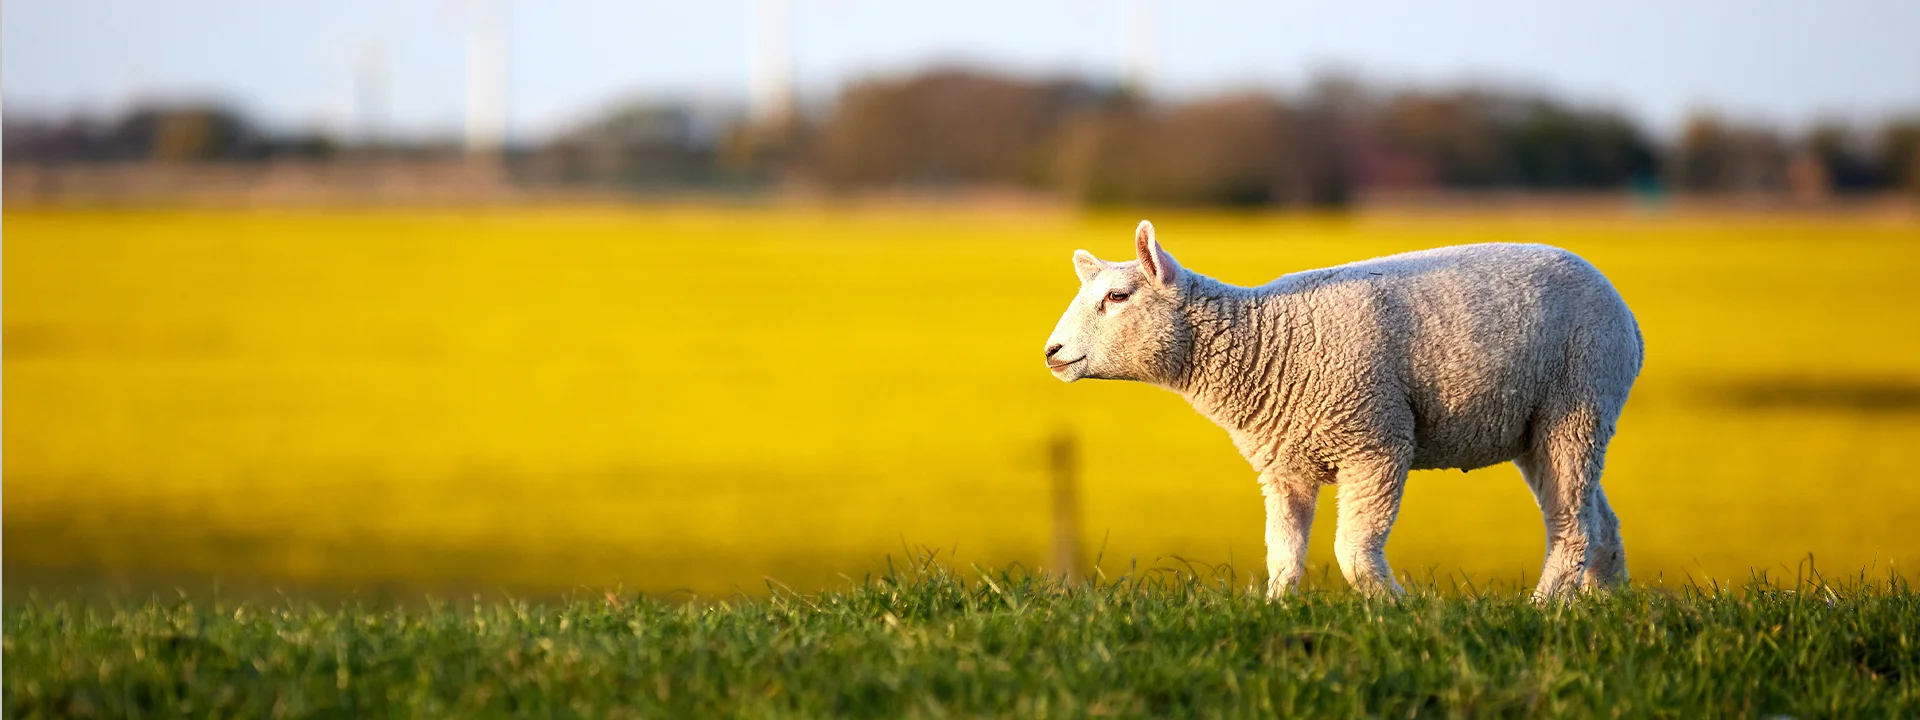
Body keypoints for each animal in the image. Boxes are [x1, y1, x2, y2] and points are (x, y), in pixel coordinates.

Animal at [1043, 220, 1642, 601]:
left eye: (1117, 297)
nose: (1051, 353)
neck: (1265, 344)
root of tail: (1628, 318)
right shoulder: (1283, 468)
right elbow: (1284, 556)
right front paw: (1276, 611)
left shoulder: (1376, 443)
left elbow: (1353, 552)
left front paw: (1400, 610)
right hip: (1544, 426)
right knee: (1599, 521)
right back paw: (1605, 606)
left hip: (1579, 401)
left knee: (1573, 527)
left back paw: (1544, 609)